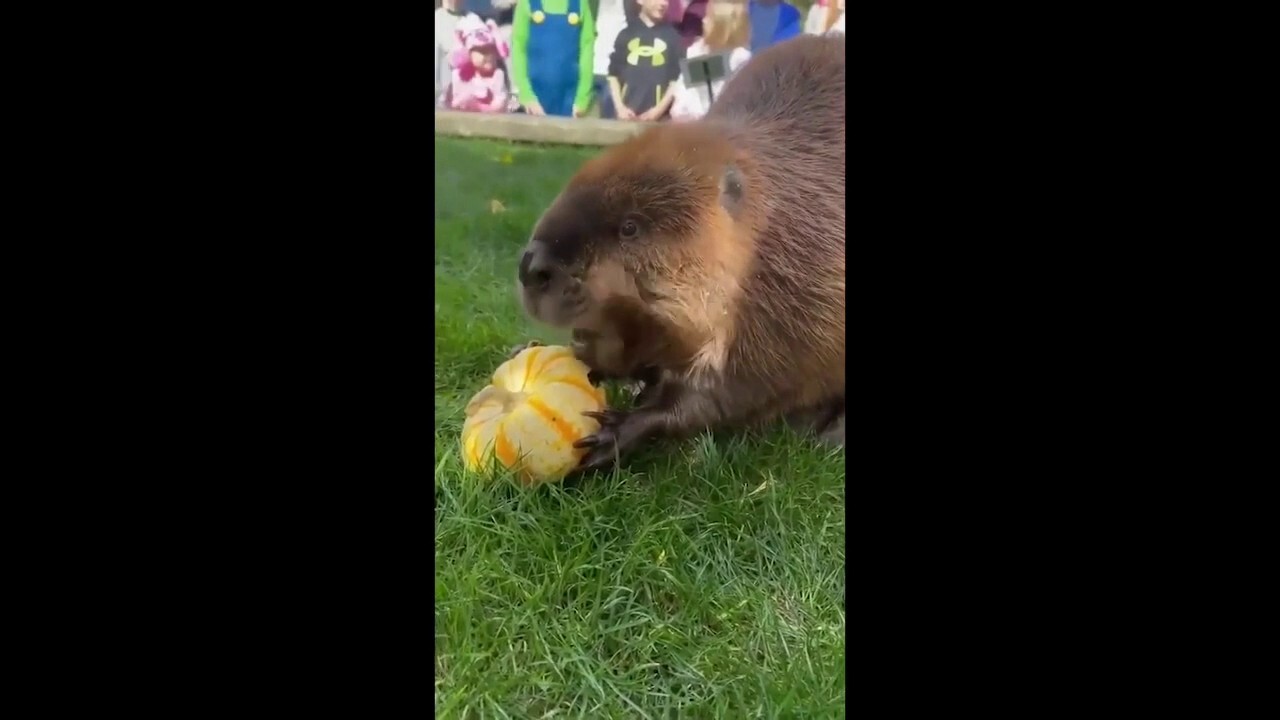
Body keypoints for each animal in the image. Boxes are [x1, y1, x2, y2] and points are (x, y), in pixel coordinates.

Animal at [514, 35, 844, 471]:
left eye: (630, 226)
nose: (533, 267)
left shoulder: (792, 298)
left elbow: (732, 390)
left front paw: (612, 432)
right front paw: (547, 351)